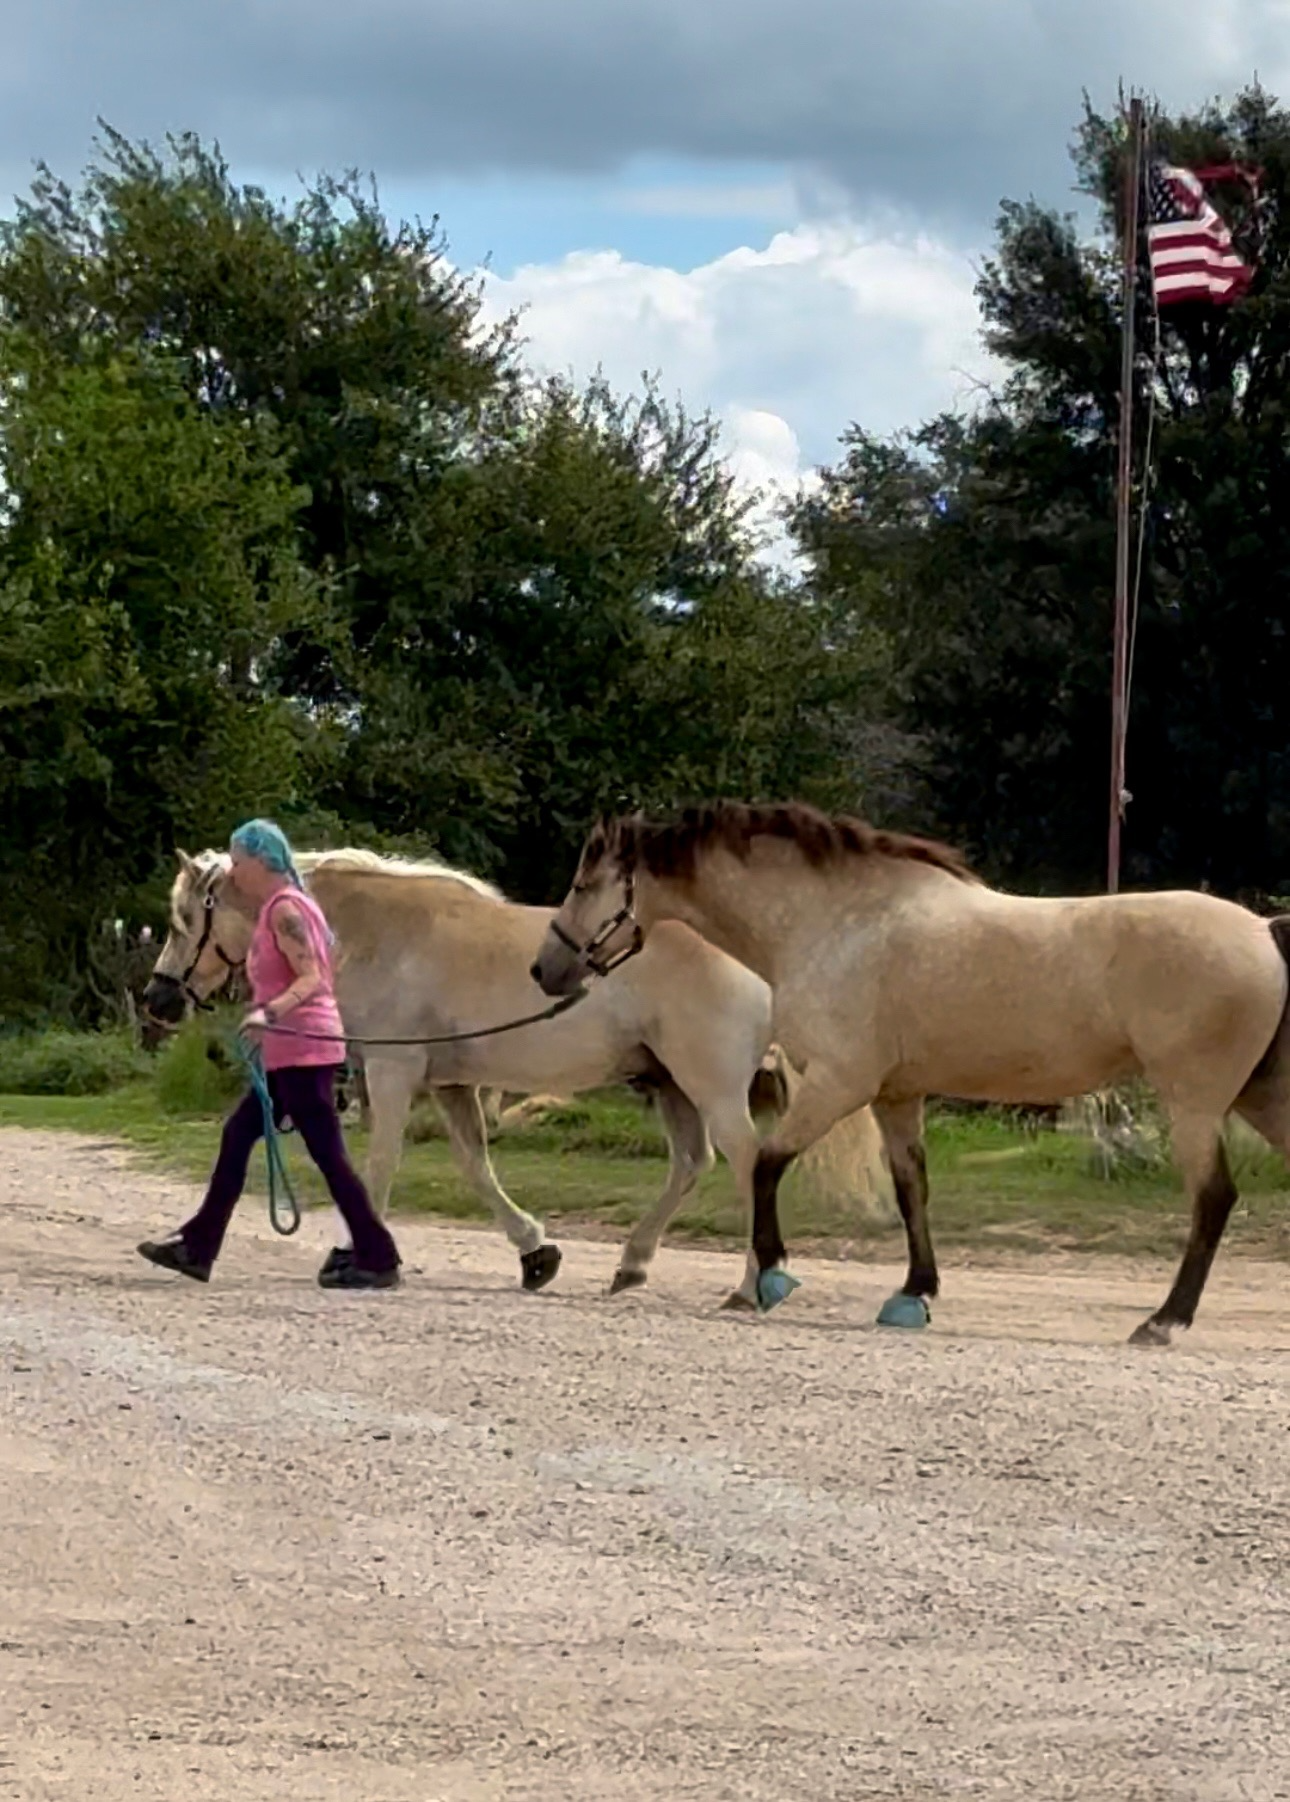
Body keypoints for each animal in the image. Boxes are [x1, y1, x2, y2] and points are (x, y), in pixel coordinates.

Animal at [142, 845, 887, 1303]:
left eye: (182, 920)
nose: (157, 1000)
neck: (375, 933)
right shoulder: (450, 1086)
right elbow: (476, 1170)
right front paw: (536, 1255)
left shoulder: (392, 1069)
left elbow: (374, 1166)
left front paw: (360, 1259)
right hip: (671, 1084)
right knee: (689, 1163)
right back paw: (632, 1263)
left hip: (711, 1087)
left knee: (746, 1161)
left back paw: (751, 1283)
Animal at [533, 799, 1290, 1344]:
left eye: (583, 883)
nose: (546, 970)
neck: (837, 922)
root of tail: (1263, 931)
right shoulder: (895, 1096)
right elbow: (910, 1190)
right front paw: (913, 1293)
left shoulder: (840, 1084)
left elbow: (768, 1164)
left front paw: (772, 1277)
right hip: (1260, 1100)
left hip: (1194, 1102)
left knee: (1213, 1200)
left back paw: (1163, 1321)